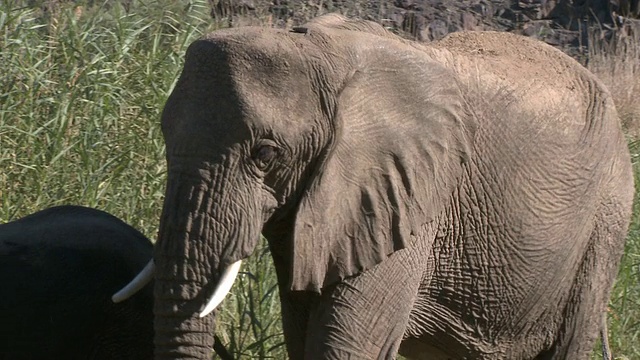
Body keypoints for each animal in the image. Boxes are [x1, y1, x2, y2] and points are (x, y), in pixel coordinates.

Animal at [115, 13, 636, 360]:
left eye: (265, 155)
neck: (317, 48)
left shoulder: (411, 197)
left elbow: (344, 343)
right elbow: (303, 327)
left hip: (606, 222)